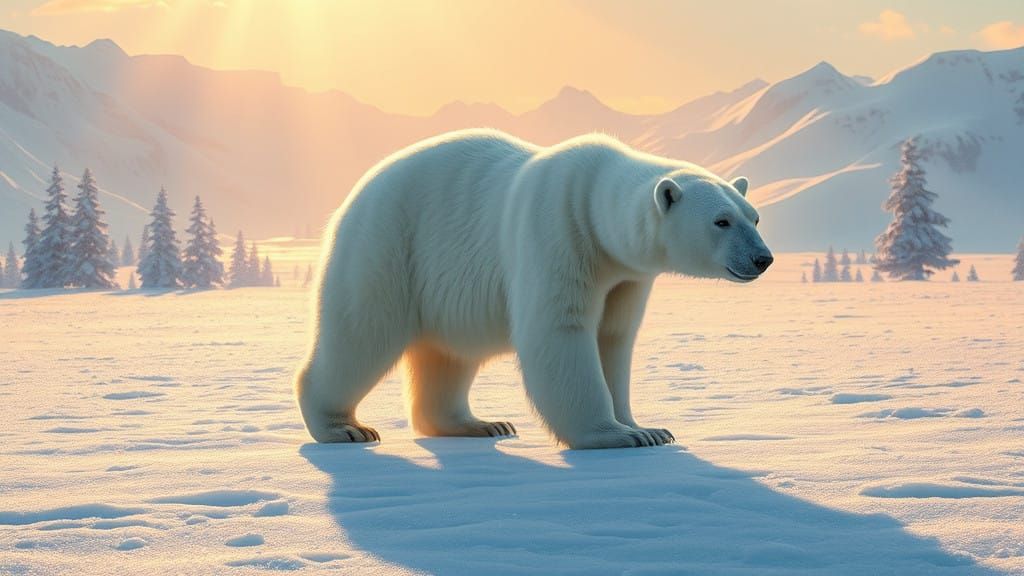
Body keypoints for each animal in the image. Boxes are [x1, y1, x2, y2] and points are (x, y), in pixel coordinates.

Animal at [295, 129, 772, 449]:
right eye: (721, 221)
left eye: (754, 216)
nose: (762, 258)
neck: (592, 199)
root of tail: (357, 192)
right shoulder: (559, 232)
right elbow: (560, 332)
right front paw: (617, 435)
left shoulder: (625, 276)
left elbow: (613, 338)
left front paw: (645, 427)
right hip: (387, 246)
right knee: (362, 334)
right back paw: (344, 427)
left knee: (448, 354)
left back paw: (479, 424)